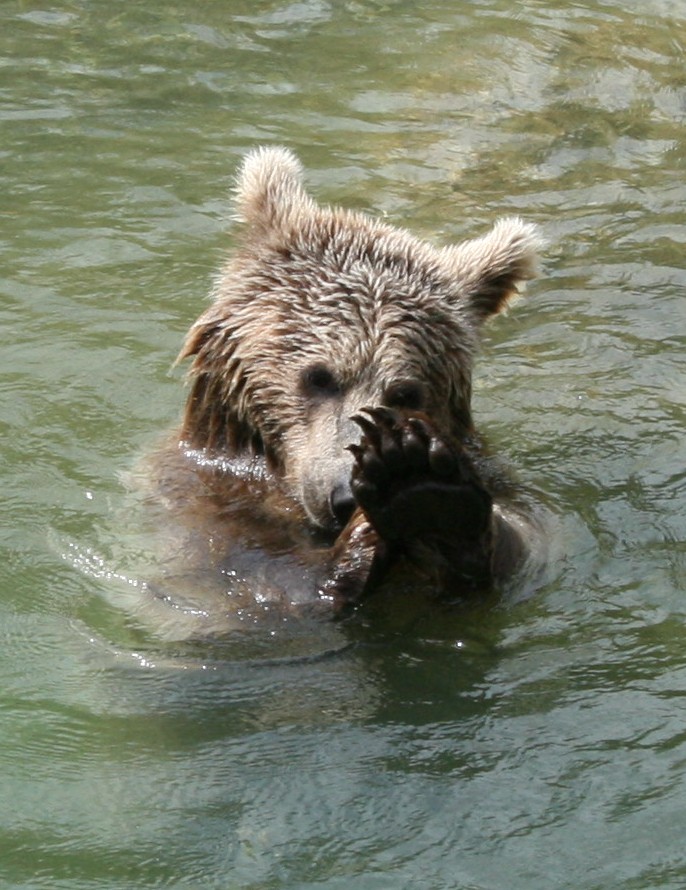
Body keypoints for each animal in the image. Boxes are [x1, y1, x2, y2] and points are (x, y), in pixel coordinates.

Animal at [145, 147, 548, 616]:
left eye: (406, 392)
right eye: (319, 377)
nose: (344, 497)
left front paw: (423, 487)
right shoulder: (203, 492)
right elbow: (244, 576)